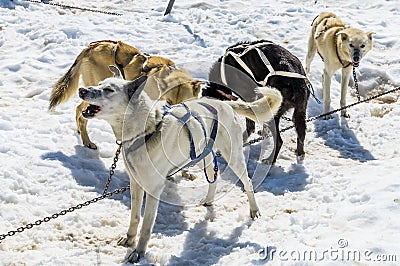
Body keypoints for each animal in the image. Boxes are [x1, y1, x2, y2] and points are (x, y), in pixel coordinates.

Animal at [48, 40, 200, 149]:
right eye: (169, 102)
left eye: (185, 102)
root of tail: (91, 47)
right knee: (80, 110)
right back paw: (87, 141)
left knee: (79, 109)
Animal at [79, 66, 282, 262]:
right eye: (99, 83)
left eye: (108, 89)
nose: (82, 90)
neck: (146, 131)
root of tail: (224, 103)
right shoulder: (136, 183)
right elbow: (135, 217)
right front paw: (129, 239)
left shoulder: (153, 189)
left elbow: (146, 226)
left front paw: (139, 252)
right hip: (198, 156)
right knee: (213, 176)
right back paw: (209, 200)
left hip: (233, 158)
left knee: (247, 182)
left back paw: (254, 210)